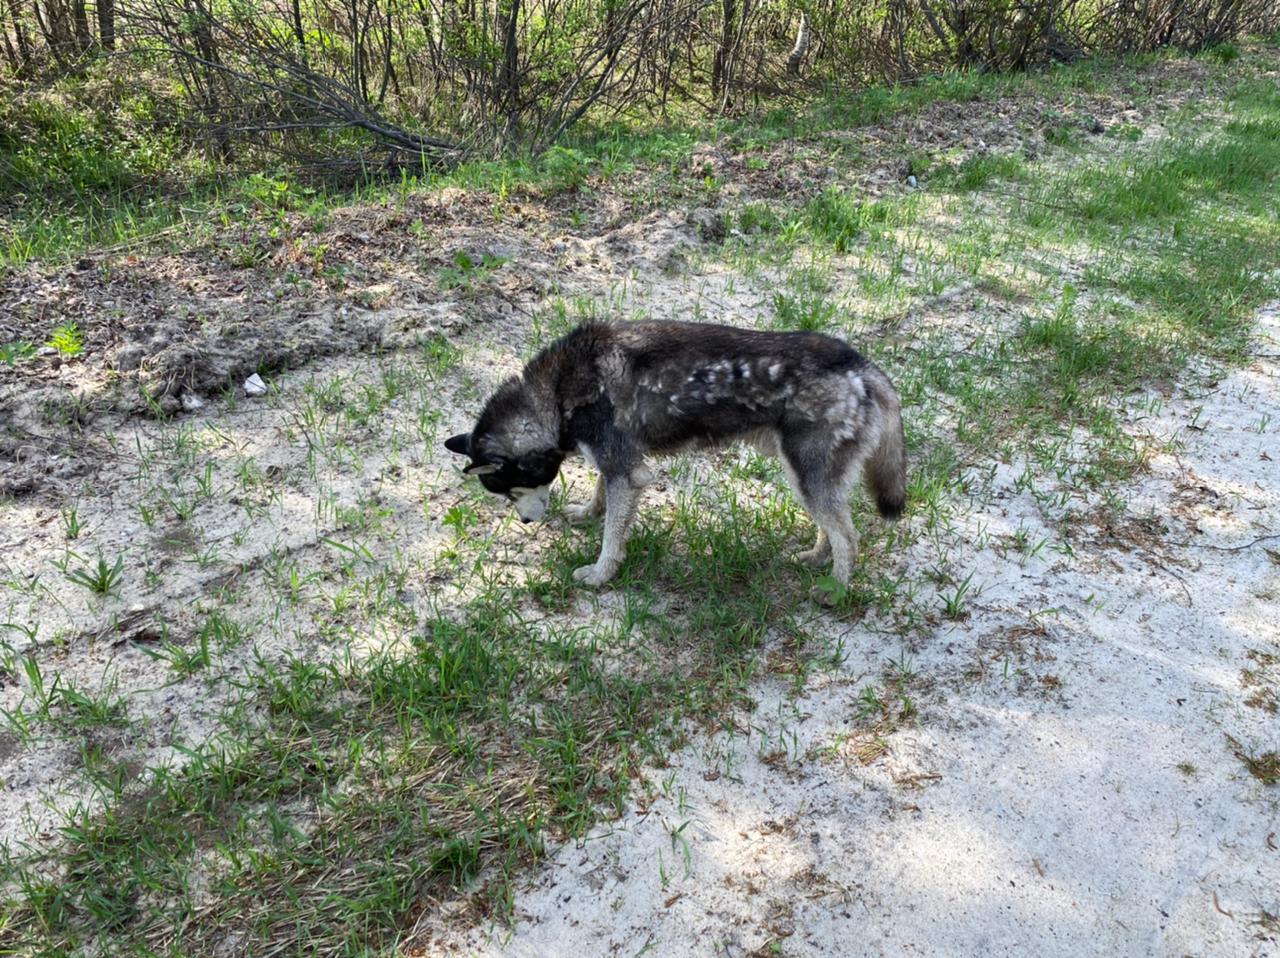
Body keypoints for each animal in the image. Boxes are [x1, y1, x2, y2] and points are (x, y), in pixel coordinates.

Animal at [445, 321, 906, 601]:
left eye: (511, 491)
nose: (525, 522)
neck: (554, 393)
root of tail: (861, 366)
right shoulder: (618, 466)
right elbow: (600, 494)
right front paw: (588, 513)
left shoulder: (626, 473)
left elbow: (612, 539)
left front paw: (600, 575)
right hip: (807, 478)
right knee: (834, 529)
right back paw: (816, 558)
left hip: (806, 477)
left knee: (849, 537)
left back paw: (837, 589)